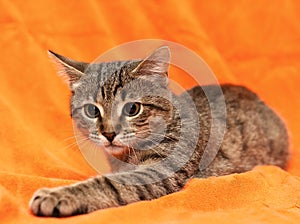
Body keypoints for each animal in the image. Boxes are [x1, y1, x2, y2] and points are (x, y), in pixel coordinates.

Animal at [29, 46, 290, 216]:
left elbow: (110, 184)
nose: (109, 134)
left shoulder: (159, 170)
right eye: (92, 111)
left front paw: (58, 196)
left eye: (132, 108)